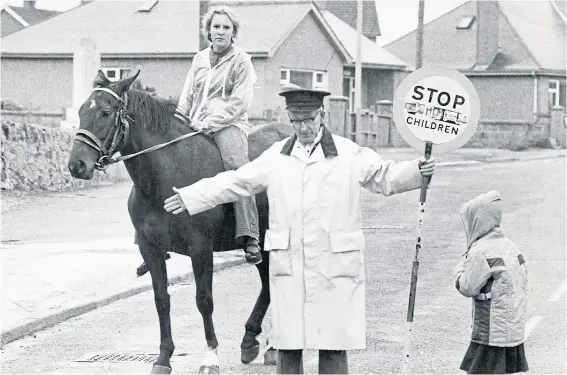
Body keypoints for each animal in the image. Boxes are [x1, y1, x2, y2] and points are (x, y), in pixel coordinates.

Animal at [67, 70, 292, 375]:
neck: (166, 178)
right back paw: (253, 341)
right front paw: (163, 358)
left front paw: (210, 358)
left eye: (105, 112)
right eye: (81, 111)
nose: (76, 165)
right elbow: (161, 300)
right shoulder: (150, 249)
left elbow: (204, 300)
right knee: (268, 285)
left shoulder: (200, 248)